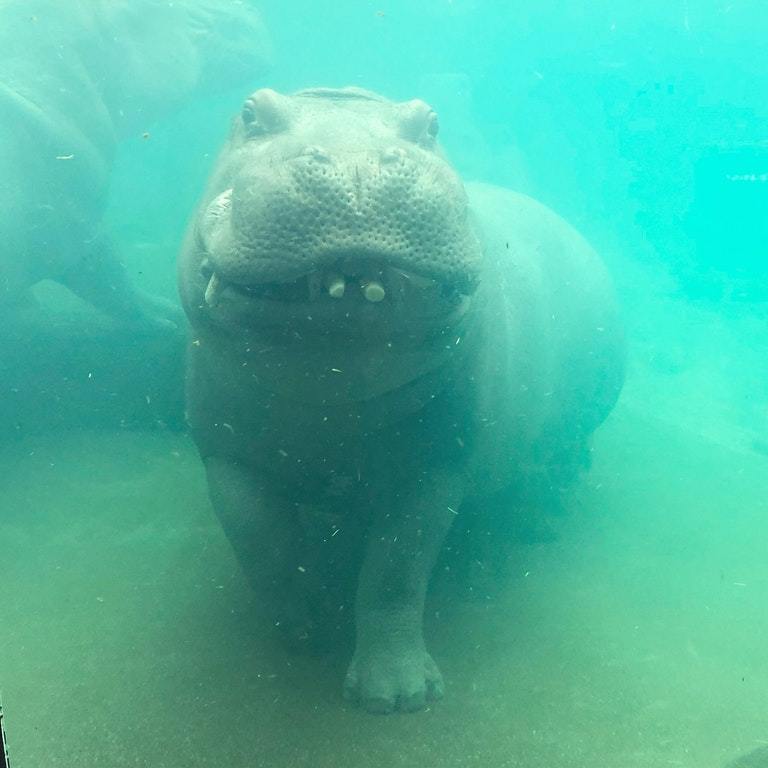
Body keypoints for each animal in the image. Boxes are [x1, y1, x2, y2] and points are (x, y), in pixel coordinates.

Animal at [178, 88, 624, 712]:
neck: (330, 391)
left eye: (431, 123)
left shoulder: (436, 465)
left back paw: (545, 515)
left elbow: (397, 567)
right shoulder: (227, 455)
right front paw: (303, 634)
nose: (355, 164)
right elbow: (262, 543)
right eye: (250, 112)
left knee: (566, 456)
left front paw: (397, 696)